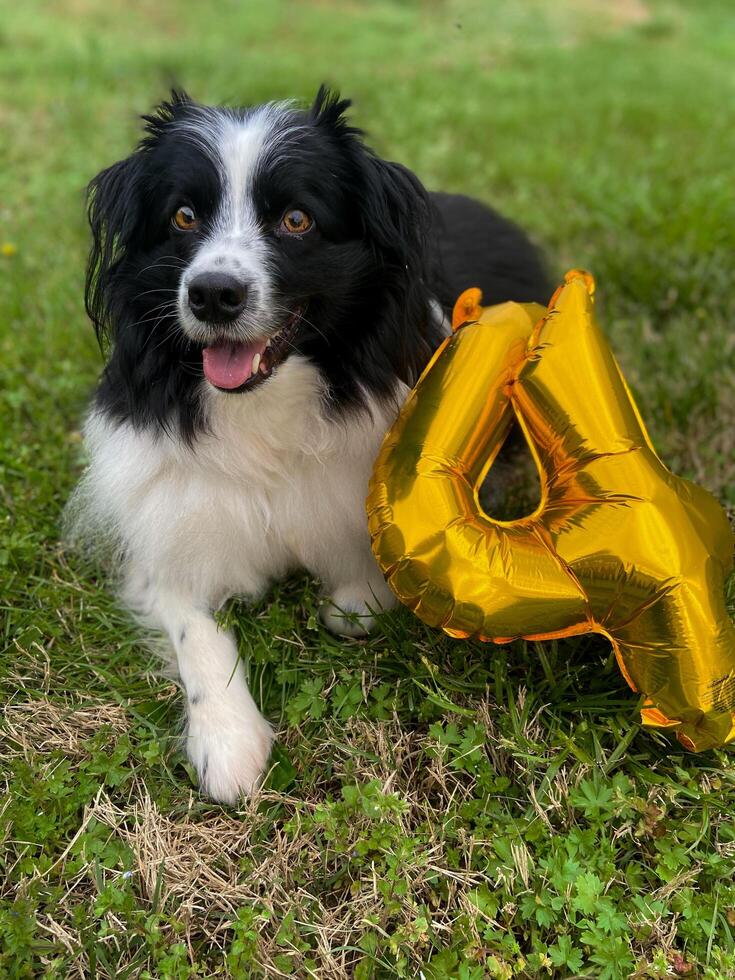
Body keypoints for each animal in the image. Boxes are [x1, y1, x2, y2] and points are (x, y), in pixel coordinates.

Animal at [72, 86, 548, 804]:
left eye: (297, 220)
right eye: (183, 216)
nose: (212, 294)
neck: (263, 405)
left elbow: (360, 596)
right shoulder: (170, 532)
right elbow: (194, 626)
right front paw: (228, 743)